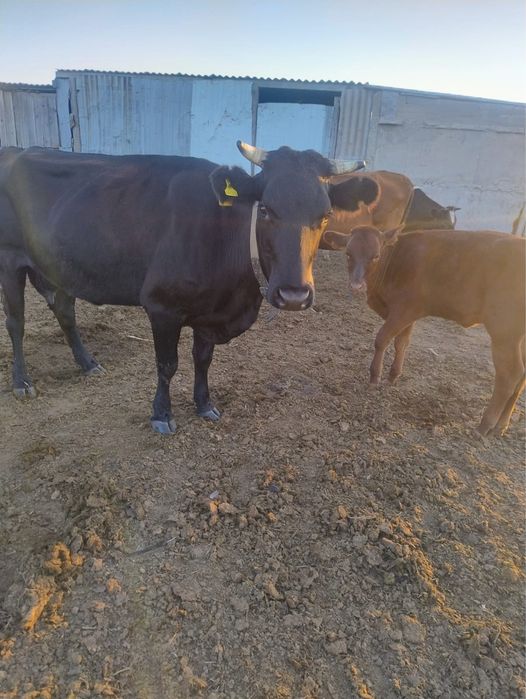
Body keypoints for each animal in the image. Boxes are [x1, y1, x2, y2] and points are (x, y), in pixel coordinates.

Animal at [0, 142, 365, 433]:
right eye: (265, 208)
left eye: (326, 214)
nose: (293, 295)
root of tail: (17, 149)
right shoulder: (162, 306)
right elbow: (168, 364)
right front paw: (162, 415)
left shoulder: (211, 313)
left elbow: (203, 359)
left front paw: (204, 404)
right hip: (9, 260)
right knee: (16, 324)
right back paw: (22, 382)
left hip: (60, 266)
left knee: (64, 311)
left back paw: (88, 364)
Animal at [323, 226, 525, 436]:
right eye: (348, 253)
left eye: (376, 256)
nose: (356, 286)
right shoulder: (409, 315)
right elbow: (401, 343)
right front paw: (393, 376)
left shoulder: (403, 310)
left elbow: (382, 339)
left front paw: (374, 377)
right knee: (521, 376)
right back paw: (501, 425)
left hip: (504, 331)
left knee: (510, 374)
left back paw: (485, 425)